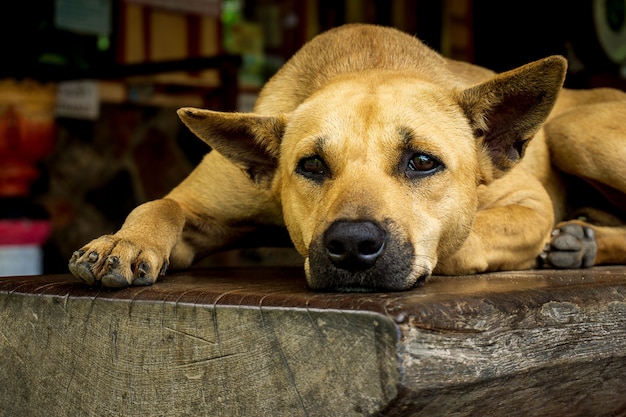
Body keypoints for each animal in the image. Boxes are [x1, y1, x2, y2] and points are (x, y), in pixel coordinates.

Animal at [67, 24, 624, 290]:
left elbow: (462, 241)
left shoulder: (530, 203)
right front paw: (125, 241)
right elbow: (160, 205)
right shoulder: (201, 208)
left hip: (575, 131)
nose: (352, 245)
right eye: (311, 166)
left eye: (423, 162)